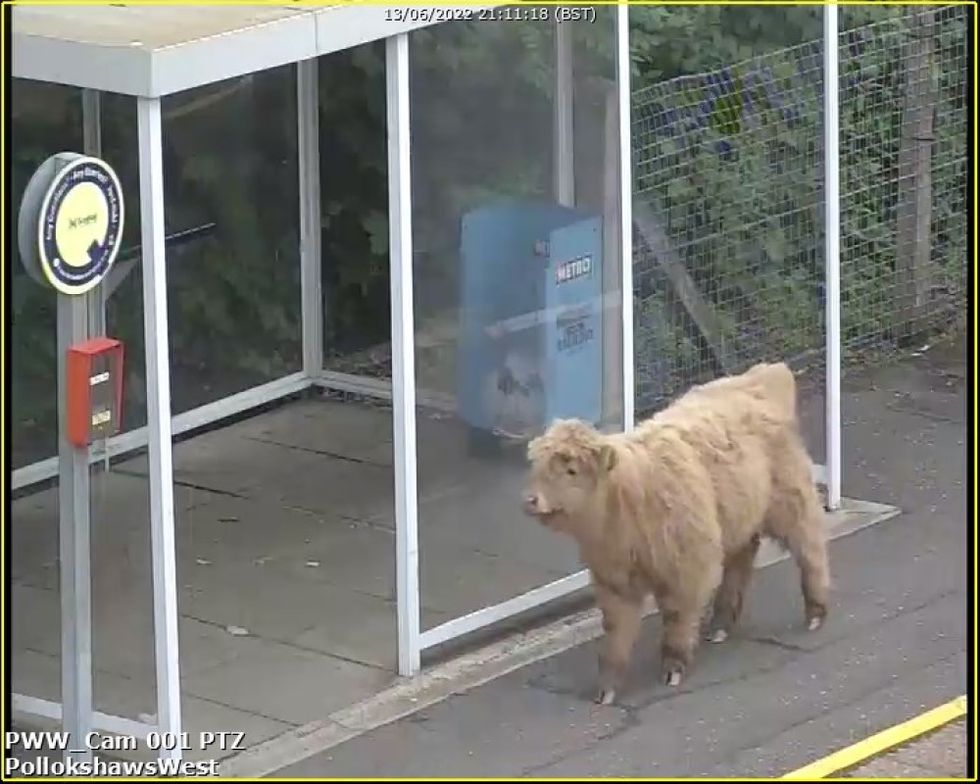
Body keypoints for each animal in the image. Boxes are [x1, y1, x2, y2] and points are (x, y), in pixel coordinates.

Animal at [520, 362, 828, 704]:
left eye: (571, 470)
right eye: (537, 467)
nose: (531, 500)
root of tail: (760, 376)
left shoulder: (686, 567)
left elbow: (677, 617)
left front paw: (674, 667)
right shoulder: (614, 580)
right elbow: (616, 631)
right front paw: (607, 687)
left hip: (790, 497)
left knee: (809, 544)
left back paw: (816, 611)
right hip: (737, 515)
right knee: (741, 558)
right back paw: (720, 625)